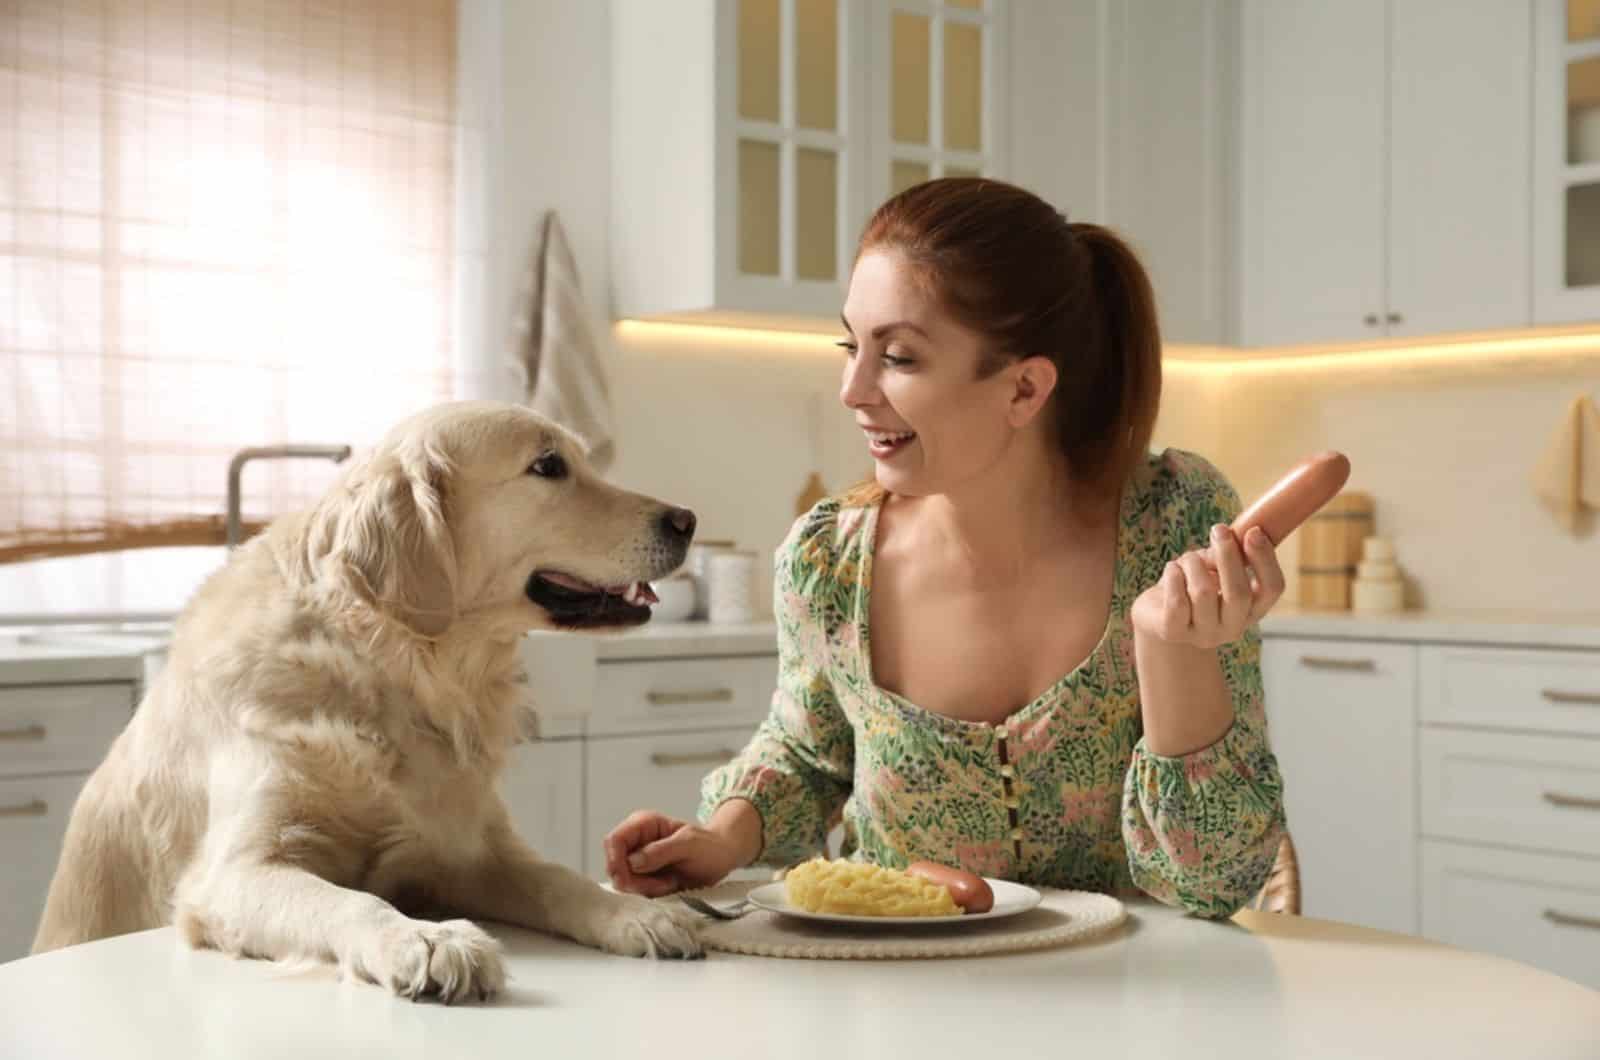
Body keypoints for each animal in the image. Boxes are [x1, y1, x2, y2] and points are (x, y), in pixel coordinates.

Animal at [31, 400, 704, 1005]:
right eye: (548, 466)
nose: (688, 520)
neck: (390, 672)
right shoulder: (234, 872)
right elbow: (350, 899)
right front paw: (425, 939)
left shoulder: (467, 851)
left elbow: (557, 877)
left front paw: (635, 912)